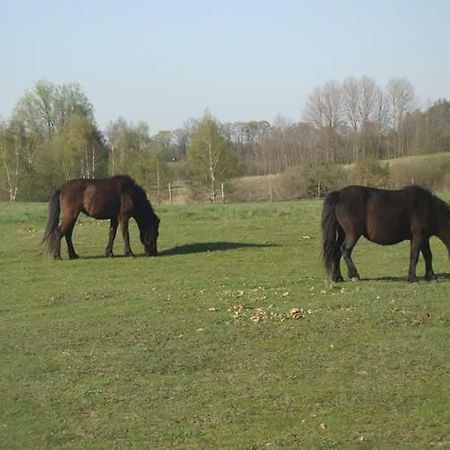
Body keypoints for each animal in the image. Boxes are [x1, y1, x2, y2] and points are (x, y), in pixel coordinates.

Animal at [322, 185, 450, 284]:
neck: (428, 207)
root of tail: (339, 194)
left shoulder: (423, 237)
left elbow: (428, 255)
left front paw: (431, 277)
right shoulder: (418, 236)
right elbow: (415, 256)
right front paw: (413, 279)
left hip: (343, 233)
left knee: (336, 252)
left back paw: (338, 278)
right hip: (352, 234)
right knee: (345, 250)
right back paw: (354, 276)